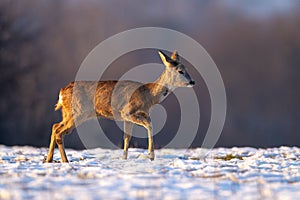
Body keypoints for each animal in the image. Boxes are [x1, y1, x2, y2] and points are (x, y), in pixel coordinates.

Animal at [44, 50, 195, 162]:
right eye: (180, 71)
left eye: (187, 69)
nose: (192, 81)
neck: (150, 96)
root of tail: (61, 92)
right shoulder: (127, 112)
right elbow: (149, 125)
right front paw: (151, 156)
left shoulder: (132, 118)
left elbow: (127, 138)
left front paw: (124, 159)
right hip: (77, 111)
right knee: (59, 131)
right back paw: (65, 161)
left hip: (68, 112)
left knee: (55, 127)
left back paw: (49, 160)